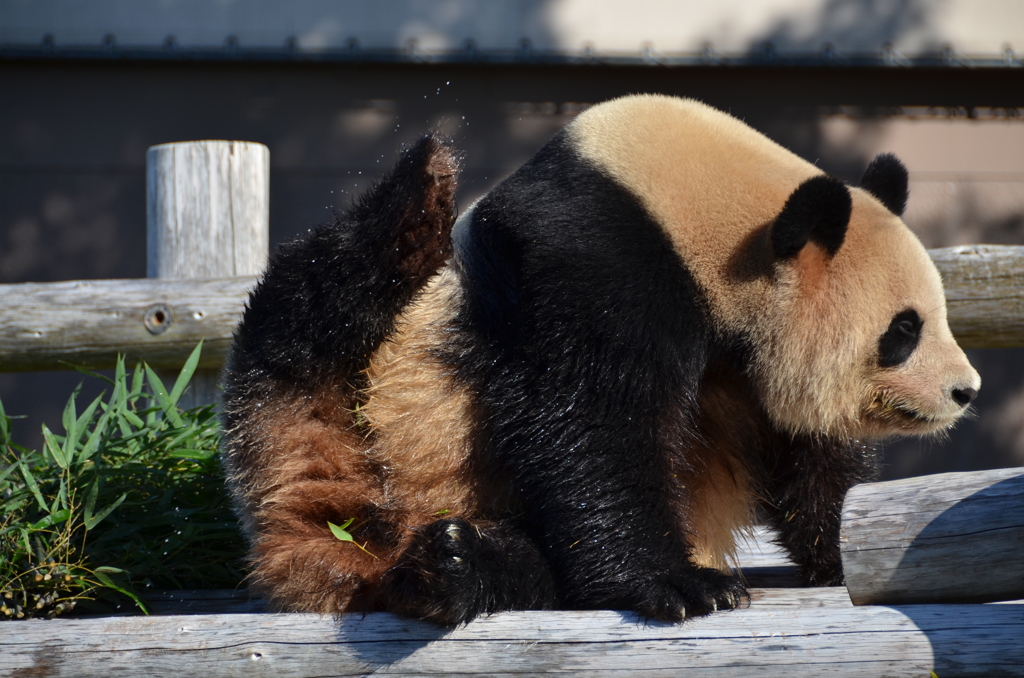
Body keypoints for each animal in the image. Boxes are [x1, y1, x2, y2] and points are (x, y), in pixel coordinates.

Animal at [220, 94, 978, 626]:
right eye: (903, 331)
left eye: (936, 314)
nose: (964, 391)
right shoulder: (603, 255)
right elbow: (590, 418)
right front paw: (683, 585)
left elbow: (803, 450)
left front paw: (839, 548)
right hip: (348, 386)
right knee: (309, 312)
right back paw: (417, 195)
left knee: (528, 575)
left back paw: (454, 568)